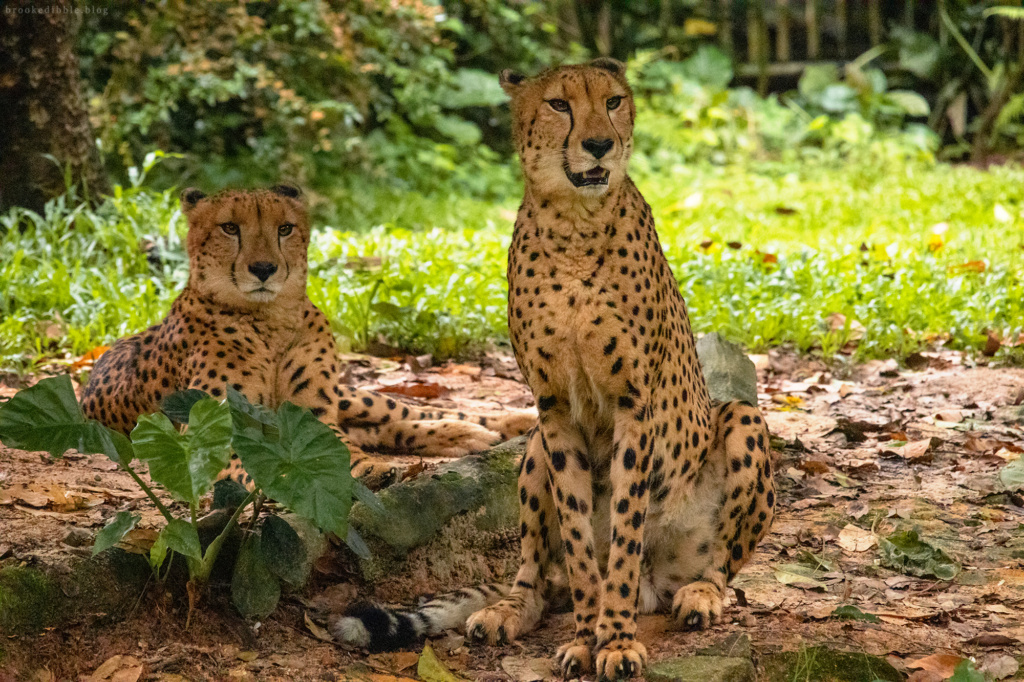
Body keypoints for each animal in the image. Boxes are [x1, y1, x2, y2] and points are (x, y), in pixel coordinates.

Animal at [80, 183, 532, 485]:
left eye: (285, 229)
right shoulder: (210, 431)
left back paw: (505, 423)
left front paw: (363, 468)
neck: (270, 319)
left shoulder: (314, 410)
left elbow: (337, 444)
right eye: (229, 228)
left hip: (350, 396)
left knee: (407, 412)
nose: (264, 269)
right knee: (389, 426)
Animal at [335, 61, 774, 675]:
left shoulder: (632, 405)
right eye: (559, 105)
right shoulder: (555, 408)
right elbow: (577, 533)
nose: (599, 145)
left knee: (720, 564)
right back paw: (509, 611)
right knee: (537, 576)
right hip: (533, 447)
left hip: (740, 422)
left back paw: (699, 596)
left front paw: (615, 640)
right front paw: (589, 637)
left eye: (613, 101)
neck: (574, 225)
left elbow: (624, 529)